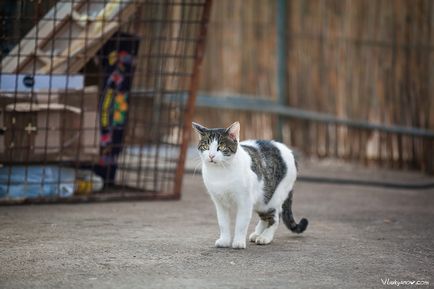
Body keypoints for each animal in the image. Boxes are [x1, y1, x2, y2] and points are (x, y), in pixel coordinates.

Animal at [192, 120, 306, 249]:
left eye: (221, 147)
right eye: (205, 147)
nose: (211, 156)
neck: (220, 172)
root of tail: (289, 150)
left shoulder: (245, 201)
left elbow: (241, 223)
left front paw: (238, 242)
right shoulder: (220, 203)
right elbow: (223, 223)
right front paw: (225, 240)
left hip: (273, 198)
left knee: (275, 217)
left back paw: (265, 237)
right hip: (262, 199)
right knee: (265, 217)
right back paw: (257, 233)